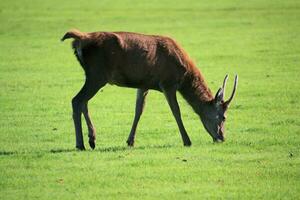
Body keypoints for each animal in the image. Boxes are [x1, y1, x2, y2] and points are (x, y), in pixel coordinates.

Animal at [61, 28, 238, 149]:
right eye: (224, 117)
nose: (222, 137)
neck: (184, 75)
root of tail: (80, 39)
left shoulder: (143, 84)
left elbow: (138, 110)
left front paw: (130, 141)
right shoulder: (168, 83)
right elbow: (176, 111)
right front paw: (187, 141)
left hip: (93, 76)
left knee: (83, 102)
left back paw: (92, 139)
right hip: (97, 74)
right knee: (76, 100)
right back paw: (81, 144)